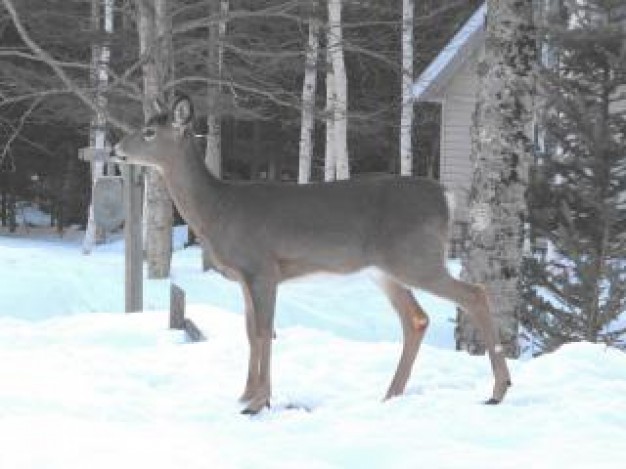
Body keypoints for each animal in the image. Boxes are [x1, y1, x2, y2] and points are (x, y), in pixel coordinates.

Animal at [113, 94, 512, 414]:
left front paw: (259, 402)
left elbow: (264, 331)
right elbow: (250, 331)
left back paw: (498, 390)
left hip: (416, 258)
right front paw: (245, 395)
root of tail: (445, 197)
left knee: (474, 294)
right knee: (417, 318)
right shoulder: (245, 277)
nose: (116, 148)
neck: (218, 210)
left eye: (149, 132)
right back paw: (391, 394)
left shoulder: (263, 268)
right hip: (386, 269)